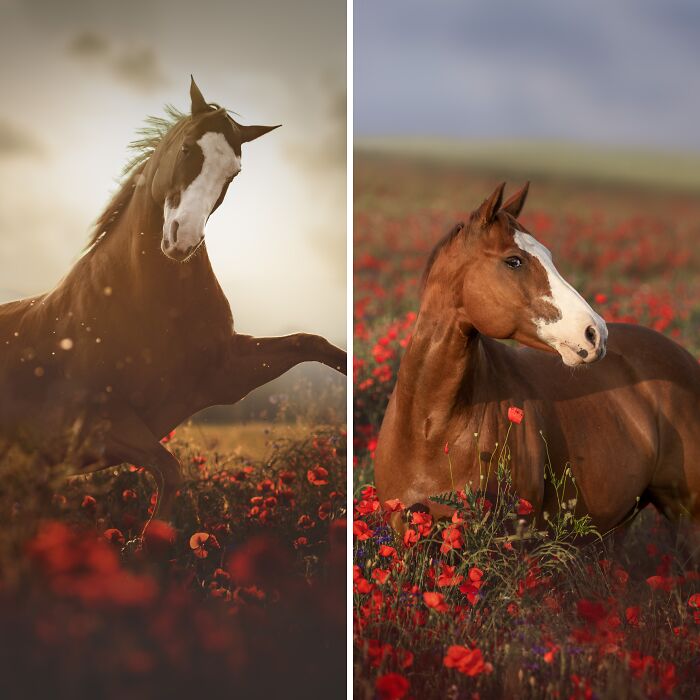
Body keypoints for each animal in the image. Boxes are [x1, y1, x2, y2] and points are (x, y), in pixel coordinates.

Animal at [0, 79, 348, 520]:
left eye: (233, 172)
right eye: (187, 149)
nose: (183, 239)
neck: (151, 306)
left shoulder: (224, 373)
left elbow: (310, 343)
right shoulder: (97, 424)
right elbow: (171, 470)